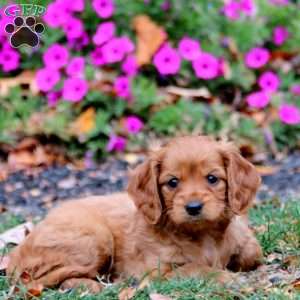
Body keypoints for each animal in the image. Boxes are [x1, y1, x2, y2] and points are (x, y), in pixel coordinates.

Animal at [7, 136, 262, 292]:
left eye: (212, 178)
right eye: (172, 182)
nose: (193, 207)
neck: (203, 235)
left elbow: (252, 252)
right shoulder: (156, 272)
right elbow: (193, 268)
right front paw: (225, 277)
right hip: (96, 239)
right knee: (34, 281)